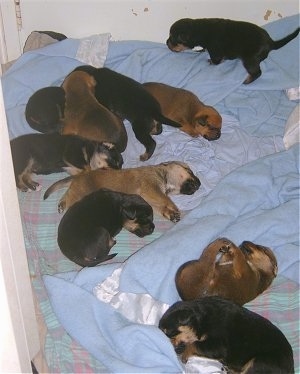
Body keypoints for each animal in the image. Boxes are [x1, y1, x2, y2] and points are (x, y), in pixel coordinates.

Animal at [43, 161, 200, 222]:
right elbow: (166, 199)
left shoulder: (152, 199)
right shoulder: (151, 188)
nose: (199, 184)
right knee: (70, 196)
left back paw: (61, 204)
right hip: (82, 191)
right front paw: (175, 209)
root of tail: (80, 175)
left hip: (79, 190)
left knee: (67, 194)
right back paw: (62, 206)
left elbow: (162, 206)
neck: (162, 174)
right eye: (189, 170)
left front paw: (171, 214)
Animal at [158, 296, 294, 372]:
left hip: (260, 362)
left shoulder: (218, 345)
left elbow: (194, 344)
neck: (201, 319)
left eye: (168, 332)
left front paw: (184, 355)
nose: (174, 350)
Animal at [166, 17, 300, 83]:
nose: (167, 43)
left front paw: (211, 62)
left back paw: (248, 80)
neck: (199, 30)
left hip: (250, 60)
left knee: (258, 72)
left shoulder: (215, 50)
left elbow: (216, 60)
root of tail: (271, 42)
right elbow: (203, 49)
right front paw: (200, 51)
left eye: (172, 38)